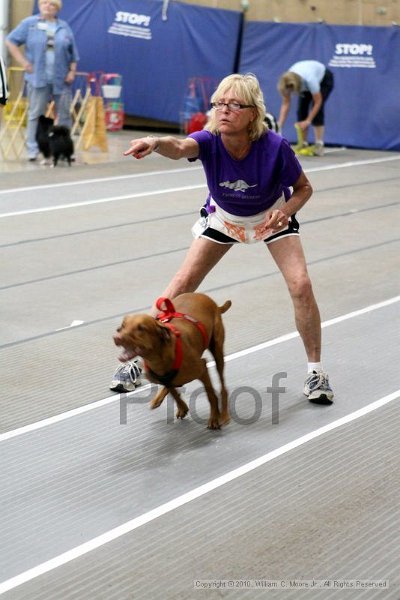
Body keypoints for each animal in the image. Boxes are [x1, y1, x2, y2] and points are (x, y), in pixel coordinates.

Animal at [112, 292, 231, 428]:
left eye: (141, 328)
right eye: (123, 326)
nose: (116, 337)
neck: (157, 359)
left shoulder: (202, 368)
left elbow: (211, 395)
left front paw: (214, 417)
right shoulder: (164, 379)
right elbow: (172, 392)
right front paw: (182, 407)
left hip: (217, 351)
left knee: (223, 386)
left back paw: (224, 414)